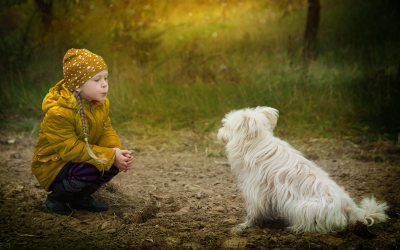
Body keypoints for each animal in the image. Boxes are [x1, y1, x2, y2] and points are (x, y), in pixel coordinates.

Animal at [217, 106, 390, 232]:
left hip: (301, 207)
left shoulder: (256, 193)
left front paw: (244, 226)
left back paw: (293, 228)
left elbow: (253, 213)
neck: (255, 145)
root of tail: (353, 212)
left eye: (226, 126)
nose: (218, 132)